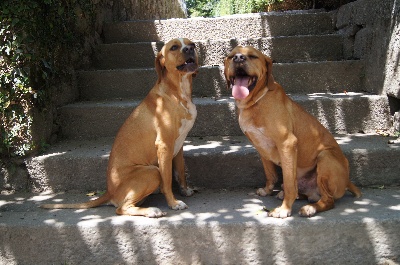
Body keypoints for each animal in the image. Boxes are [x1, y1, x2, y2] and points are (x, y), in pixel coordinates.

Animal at [41, 37, 198, 217]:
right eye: (174, 47)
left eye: (191, 44)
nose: (190, 49)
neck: (178, 91)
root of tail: (109, 192)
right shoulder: (165, 146)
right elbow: (167, 180)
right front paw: (173, 203)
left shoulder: (178, 146)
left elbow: (180, 172)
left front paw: (185, 190)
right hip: (152, 171)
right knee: (121, 208)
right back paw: (152, 211)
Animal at [223, 46, 360, 218]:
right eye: (231, 56)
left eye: (253, 56)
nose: (239, 58)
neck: (255, 102)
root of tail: (347, 181)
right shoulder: (261, 148)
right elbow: (270, 174)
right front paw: (268, 190)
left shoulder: (287, 143)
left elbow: (289, 184)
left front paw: (285, 209)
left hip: (325, 157)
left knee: (328, 200)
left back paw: (310, 208)